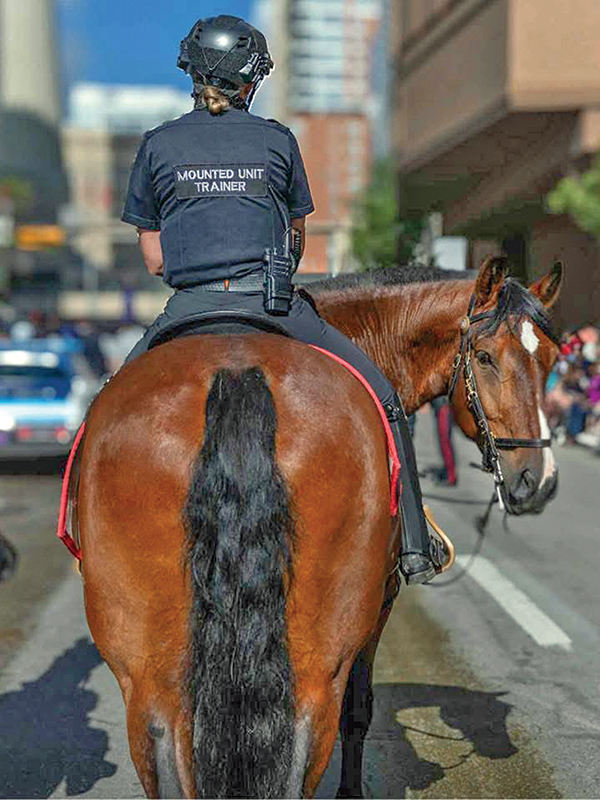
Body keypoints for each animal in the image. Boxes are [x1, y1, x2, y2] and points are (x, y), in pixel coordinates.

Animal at [73, 256, 561, 798]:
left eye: (551, 360)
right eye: (485, 356)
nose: (537, 480)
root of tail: (236, 372)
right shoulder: (381, 599)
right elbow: (359, 709)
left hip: (149, 671)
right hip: (319, 656)